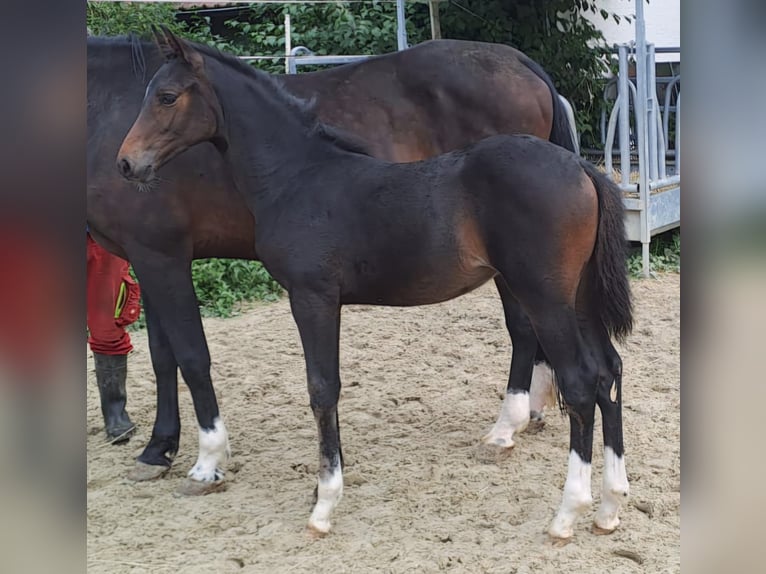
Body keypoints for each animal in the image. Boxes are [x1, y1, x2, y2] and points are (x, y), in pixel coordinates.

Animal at [117, 30, 632, 544]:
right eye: (146, 94)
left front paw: (324, 504)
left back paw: (568, 512)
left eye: (167, 97)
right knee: (608, 372)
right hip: (578, 299)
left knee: (580, 383)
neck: (298, 178)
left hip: (547, 299)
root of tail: (583, 169)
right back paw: (610, 506)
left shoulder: (312, 296)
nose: (126, 163)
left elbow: (322, 389)